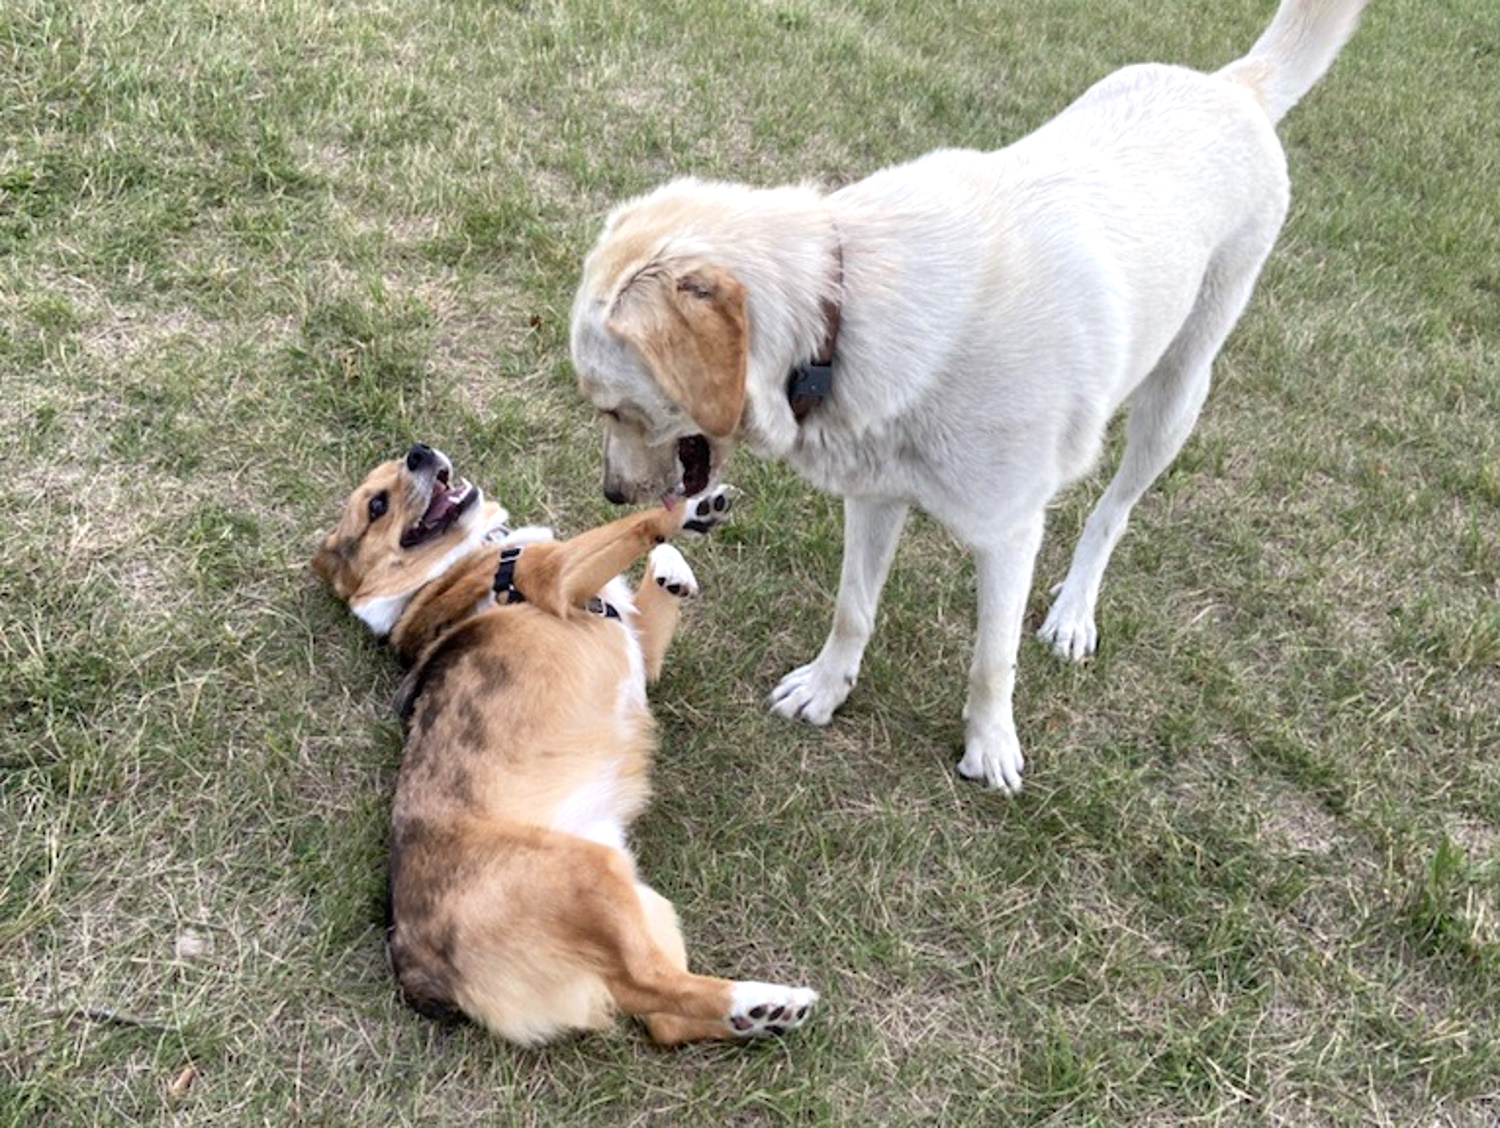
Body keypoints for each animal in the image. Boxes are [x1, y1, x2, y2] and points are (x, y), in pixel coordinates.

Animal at [309, 444, 816, 1044]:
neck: (459, 567)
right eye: (377, 505)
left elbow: (652, 583)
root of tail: (419, 966)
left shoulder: (639, 644)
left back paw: (759, 1013)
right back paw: (760, 998)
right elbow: (636, 523)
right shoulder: (553, 574)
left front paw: (674, 565)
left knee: (664, 1017)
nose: (420, 451)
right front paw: (687, 509)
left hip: (642, 903)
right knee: (649, 984)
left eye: (397, 466)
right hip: (589, 872)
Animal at [570, 0, 1374, 792]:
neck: (843, 316)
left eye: (615, 408)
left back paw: (1074, 612)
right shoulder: (875, 496)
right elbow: (852, 610)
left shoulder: (1010, 533)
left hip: (1177, 394)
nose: (611, 495)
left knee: (1113, 511)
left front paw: (990, 748)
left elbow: (993, 661)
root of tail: (1233, 85)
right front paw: (827, 689)